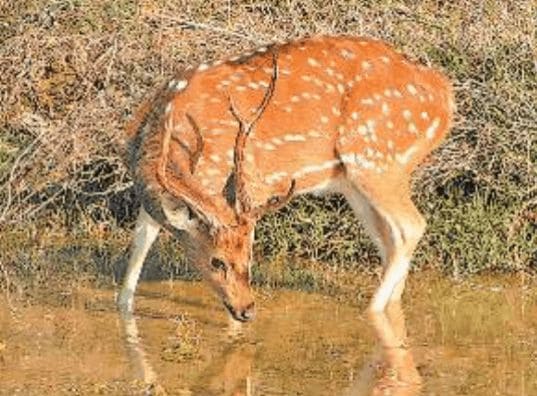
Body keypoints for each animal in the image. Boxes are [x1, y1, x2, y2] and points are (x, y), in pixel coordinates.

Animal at [117, 35, 452, 322]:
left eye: (248, 256)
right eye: (216, 261)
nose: (247, 310)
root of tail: (445, 96)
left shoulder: (246, 186)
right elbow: (141, 239)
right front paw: (124, 307)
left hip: (377, 160)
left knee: (411, 225)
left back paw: (371, 311)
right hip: (354, 181)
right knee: (389, 240)